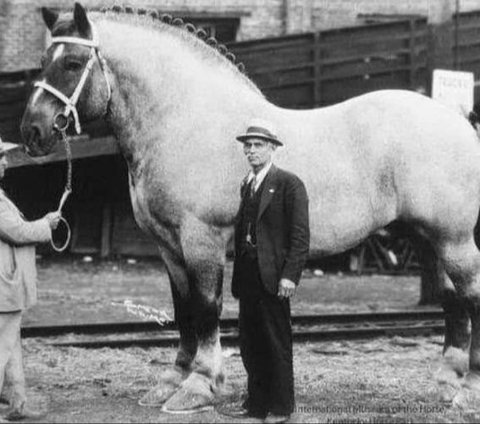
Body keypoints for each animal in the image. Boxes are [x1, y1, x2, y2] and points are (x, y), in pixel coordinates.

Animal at [21, 2, 480, 414]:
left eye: (73, 62)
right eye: (43, 61)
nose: (32, 131)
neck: (187, 120)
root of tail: (458, 119)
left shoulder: (201, 239)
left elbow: (206, 308)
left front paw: (200, 385)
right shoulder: (168, 246)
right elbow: (183, 309)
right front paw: (172, 381)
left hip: (453, 239)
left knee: (470, 296)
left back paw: (468, 388)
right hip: (427, 239)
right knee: (453, 301)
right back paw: (446, 383)